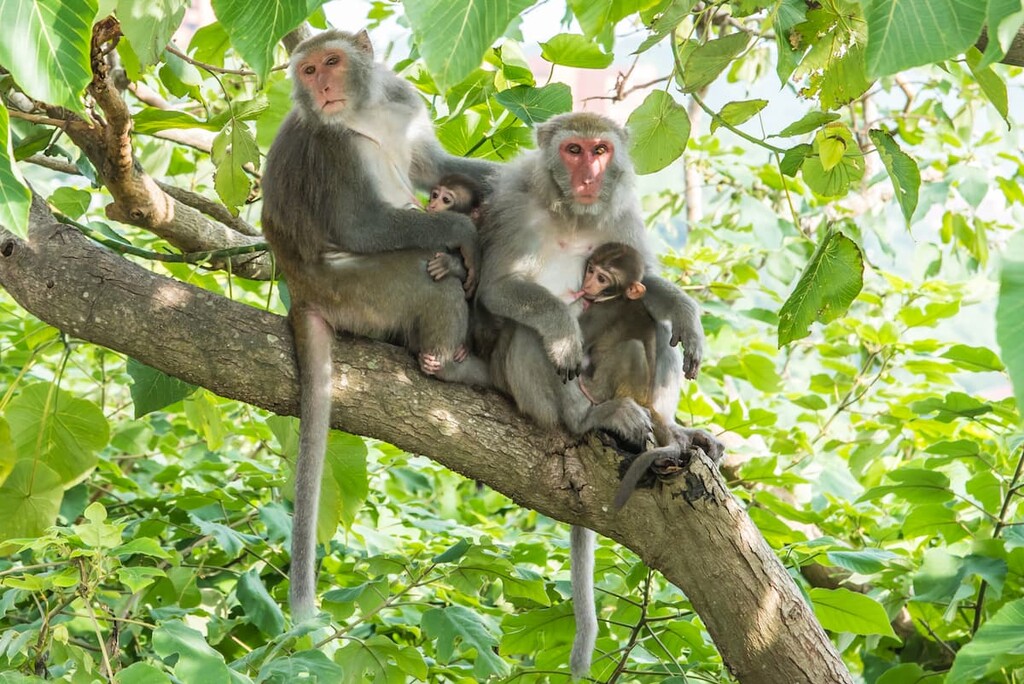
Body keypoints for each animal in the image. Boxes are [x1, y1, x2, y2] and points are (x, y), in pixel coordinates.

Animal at [260, 29, 497, 624]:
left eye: (332, 62)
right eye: (308, 70)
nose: (321, 87)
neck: (362, 111)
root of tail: (302, 293)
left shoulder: (404, 105)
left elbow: (433, 166)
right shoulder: (332, 147)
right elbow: (359, 225)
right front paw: (463, 233)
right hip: (361, 293)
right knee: (423, 276)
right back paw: (453, 361)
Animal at [474, 112, 725, 679]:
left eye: (600, 150)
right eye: (573, 150)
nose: (588, 174)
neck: (573, 214)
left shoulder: (623, 217)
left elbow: (647, 284)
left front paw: (686, 312)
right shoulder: (513, 204)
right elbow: (498, 289)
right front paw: (565, 329)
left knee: (653, 325)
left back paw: (672, 428)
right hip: (532, 393)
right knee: (532, 334)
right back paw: (591, 418)